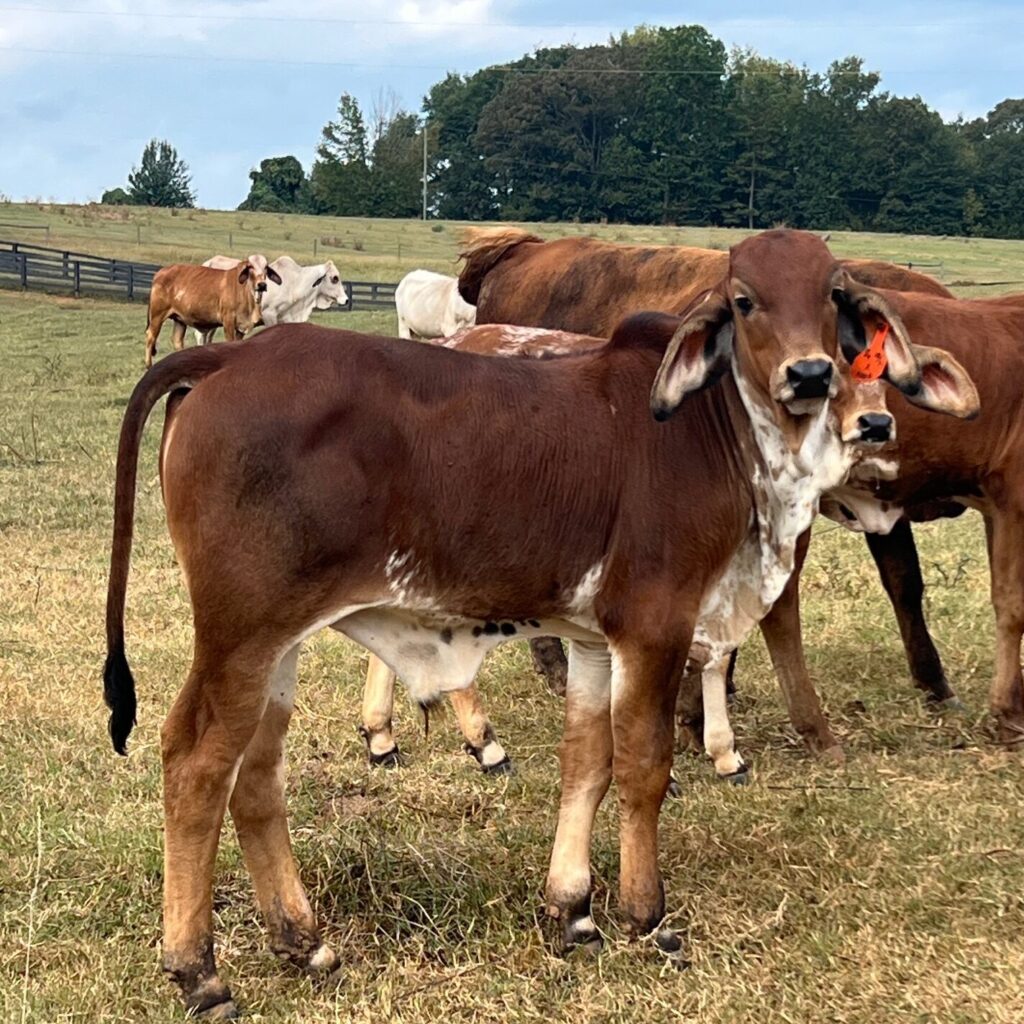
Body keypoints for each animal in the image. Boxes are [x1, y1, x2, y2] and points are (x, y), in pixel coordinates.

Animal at [144, 257, 281, 369]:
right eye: (250, 267)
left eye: (266, 268)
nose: (261, 285)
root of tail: (161, 271)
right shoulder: (228, 320)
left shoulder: (241, 327)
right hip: (157, 315)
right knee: (150, 336)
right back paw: (149, 366)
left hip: (179, 319)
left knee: (177, 340)